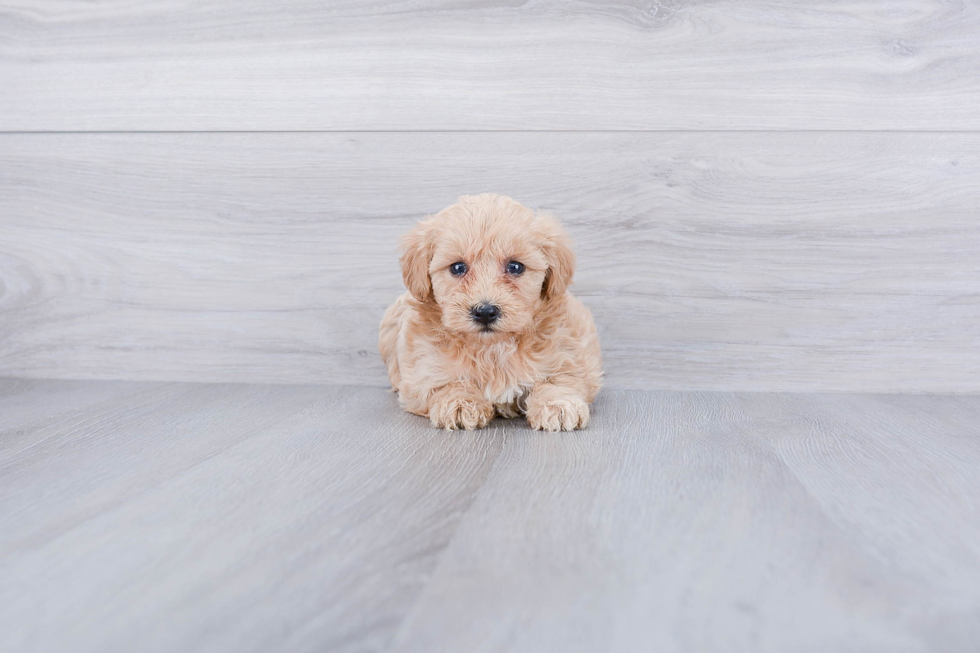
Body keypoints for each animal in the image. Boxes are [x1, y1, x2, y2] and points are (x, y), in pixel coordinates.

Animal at [378, 192, 600, 428]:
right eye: (457, 267)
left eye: (515, 267)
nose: (485, 311)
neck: (491, 349)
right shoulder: (421, 373)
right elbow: (446, 382)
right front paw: (459, 402)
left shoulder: (571, 353)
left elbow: (560, 378)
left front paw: (558, 404)